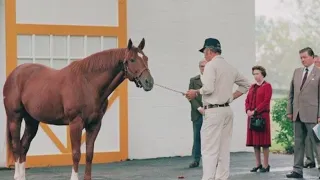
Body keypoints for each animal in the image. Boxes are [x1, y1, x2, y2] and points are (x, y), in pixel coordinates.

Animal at [3, 37, 154, 179]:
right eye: (132, 60)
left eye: (146, 58)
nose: (149, 82)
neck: (88, 84)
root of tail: (14, 74)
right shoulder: (75, 124)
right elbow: (76, 154)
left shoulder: (94, 125)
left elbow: (89, 154)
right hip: (15, 118)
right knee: (16, 146)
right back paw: (17, 175)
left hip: (32, 121)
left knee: (24, 146)